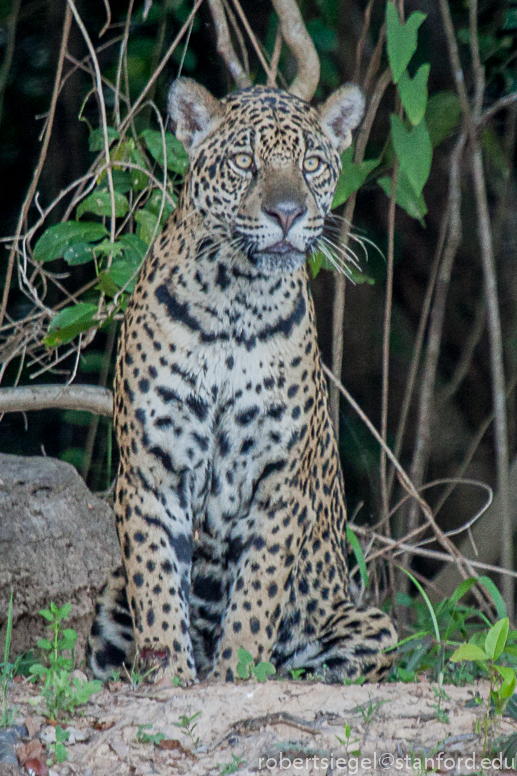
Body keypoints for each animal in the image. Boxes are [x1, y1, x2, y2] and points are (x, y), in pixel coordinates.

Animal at [87, 77, 397, 685]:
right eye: (244, 162)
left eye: (311, 165)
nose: (287, 213)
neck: (238, 300)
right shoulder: (151, 473)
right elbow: (156, 585)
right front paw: (170, 675)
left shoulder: (279, 483)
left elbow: (255, 594)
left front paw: (237, 676)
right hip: (107, 599)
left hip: (371, 625)